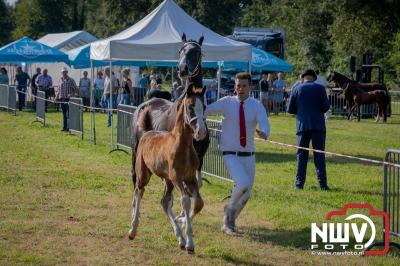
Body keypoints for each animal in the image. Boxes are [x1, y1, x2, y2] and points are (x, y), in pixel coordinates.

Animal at [129, 83, 206, 254]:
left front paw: (184, 224)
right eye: (190, 107)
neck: (182, 145)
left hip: (167, 180)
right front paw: (189, 241)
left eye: (204, 106)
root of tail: (147, 133)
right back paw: (132, 229)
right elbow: (185, 200)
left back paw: (180, 238)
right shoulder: (177, 176)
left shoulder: (190, 178)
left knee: (164, 201)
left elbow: (198, 202)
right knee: (139, 191)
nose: (201, 132)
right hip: (144, 173)